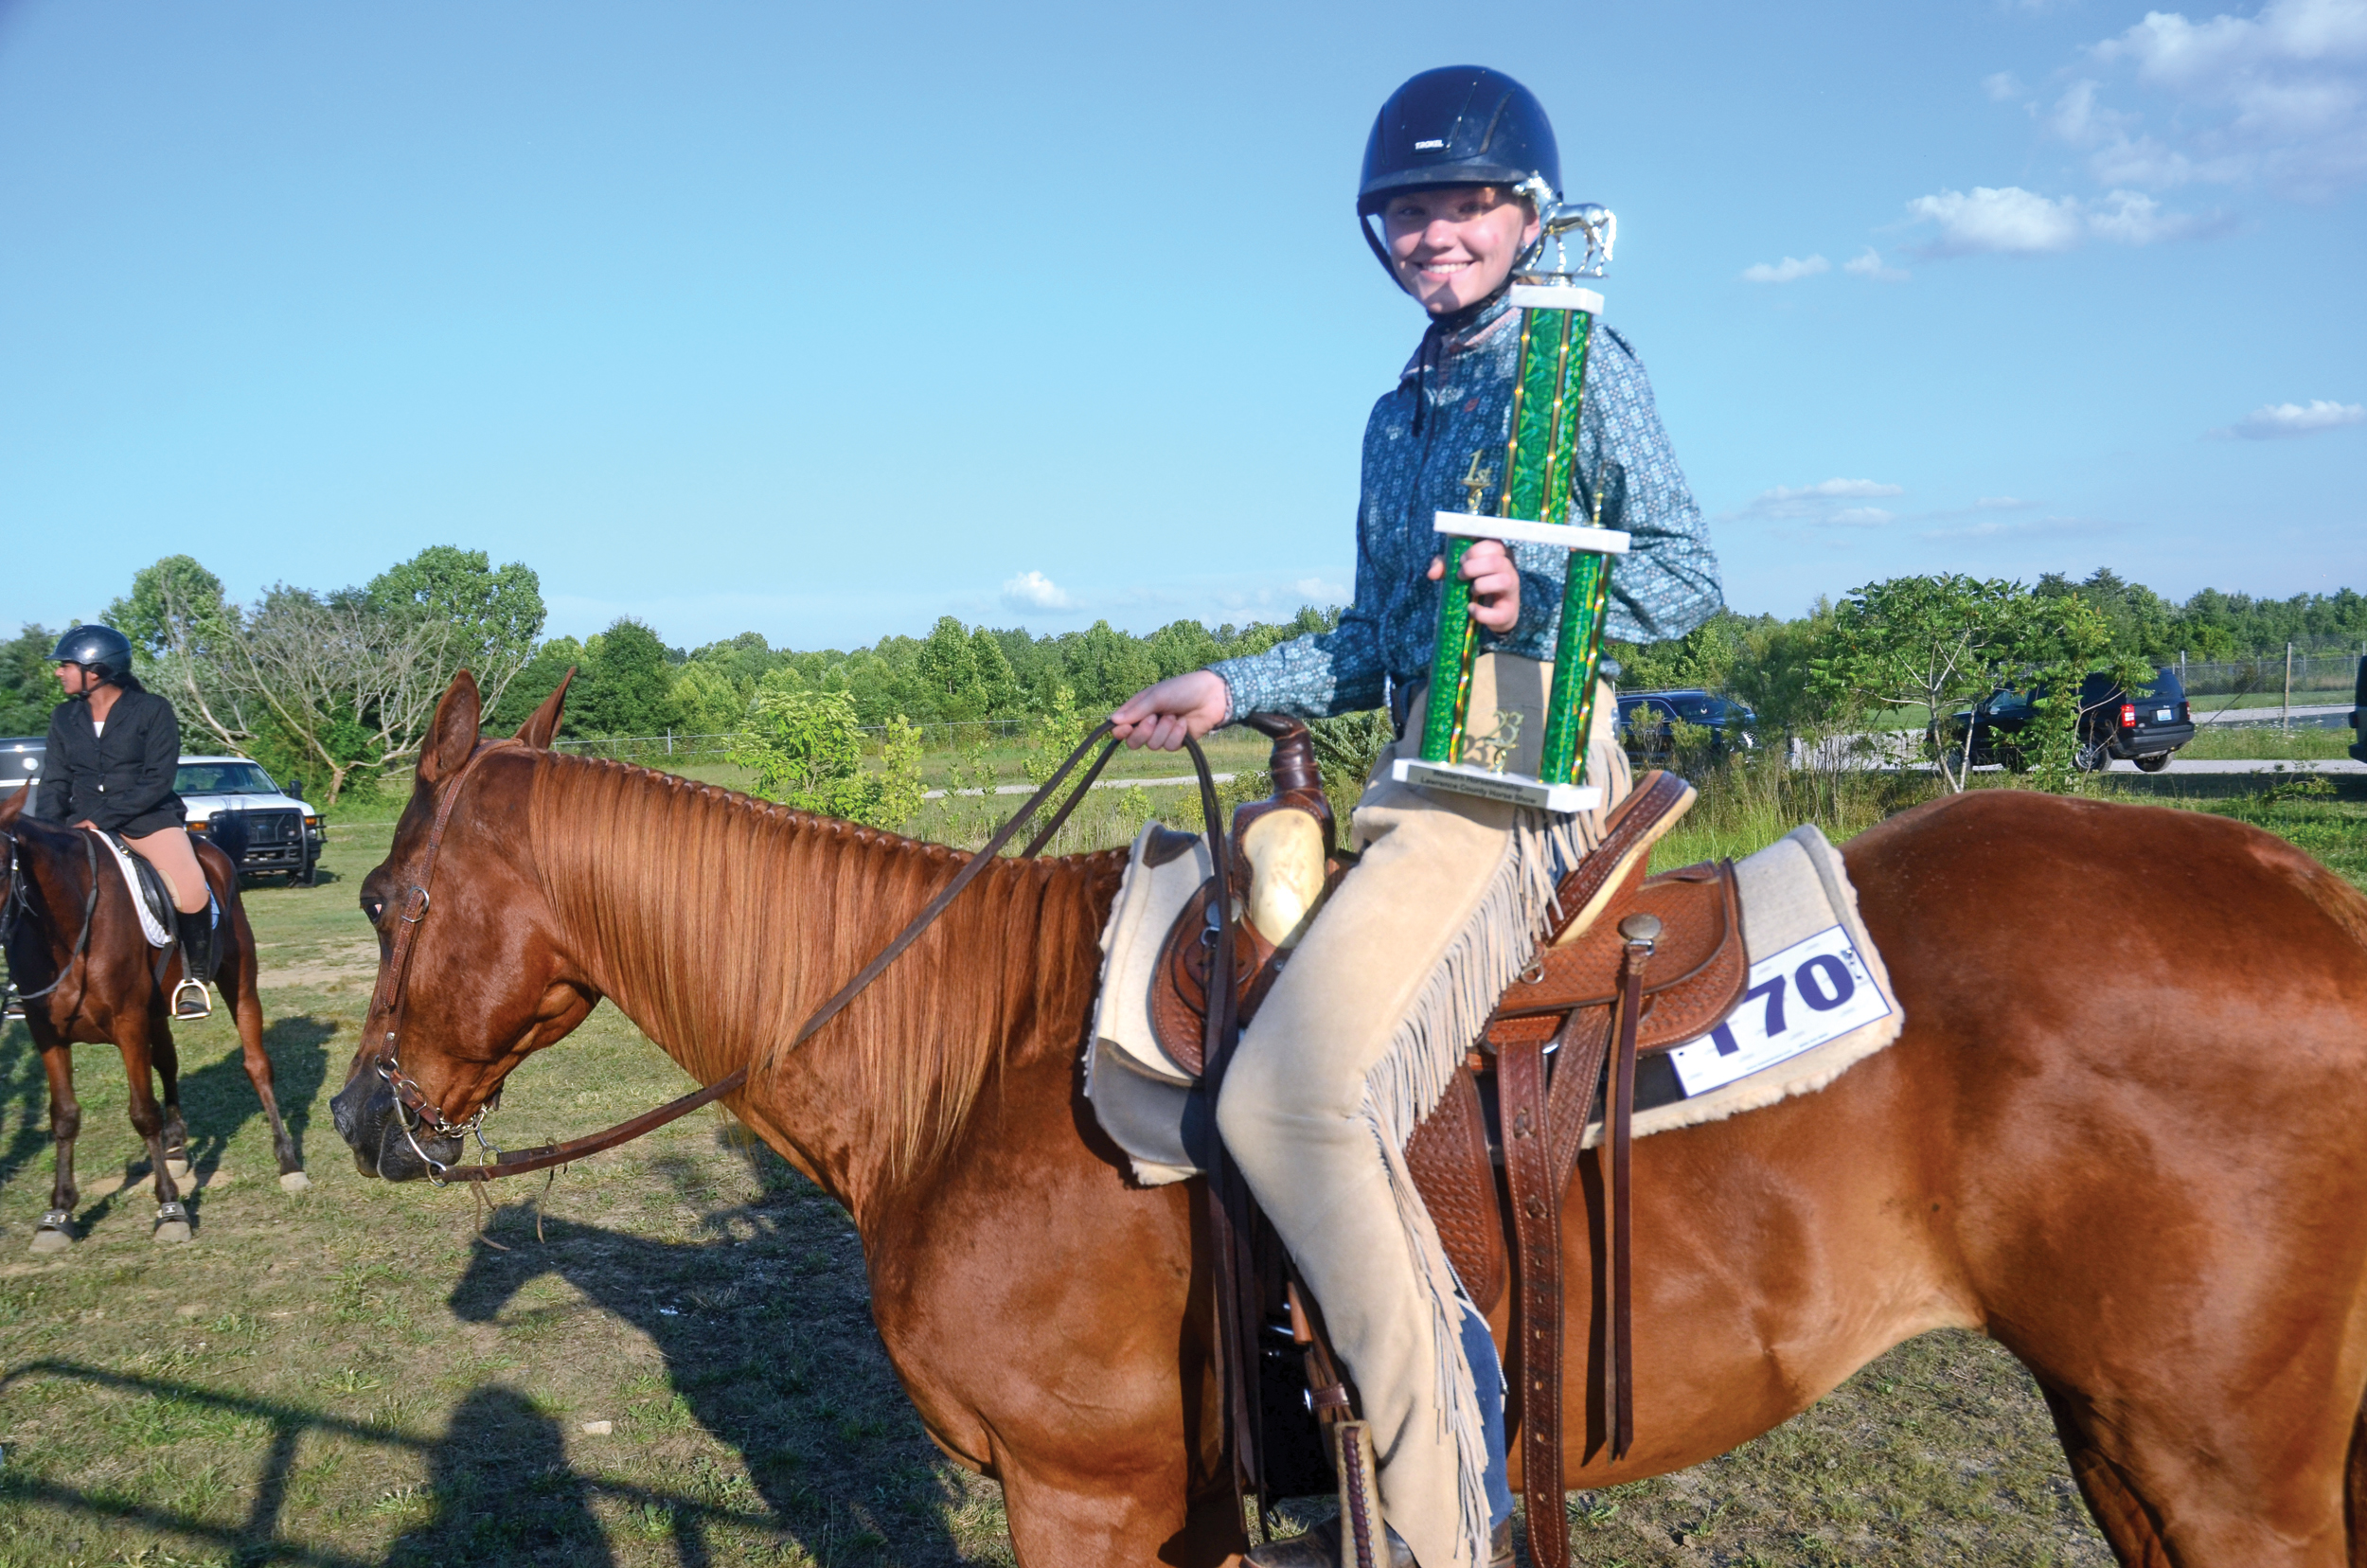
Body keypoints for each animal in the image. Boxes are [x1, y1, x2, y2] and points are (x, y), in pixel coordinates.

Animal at [0, 788, 309, 1250]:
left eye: (2, 867)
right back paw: (176, 1149)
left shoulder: (128, 1024)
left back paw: (288, 1163)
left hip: (239, 981)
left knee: (256, 1065)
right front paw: (58, 1213)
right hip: (157, 1010)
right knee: (168, 1063)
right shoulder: (46, 1032)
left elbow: (143, 1113)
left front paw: (170, 1209)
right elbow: (64, 1116)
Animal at [332, 671, 2367, 1568]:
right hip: (2131, 1447)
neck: (966, 1060)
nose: (363, 1119)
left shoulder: (1083, 1498)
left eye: (381, 895)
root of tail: (2303, 886)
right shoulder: (1189, 1500)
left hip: (2220, 1461)